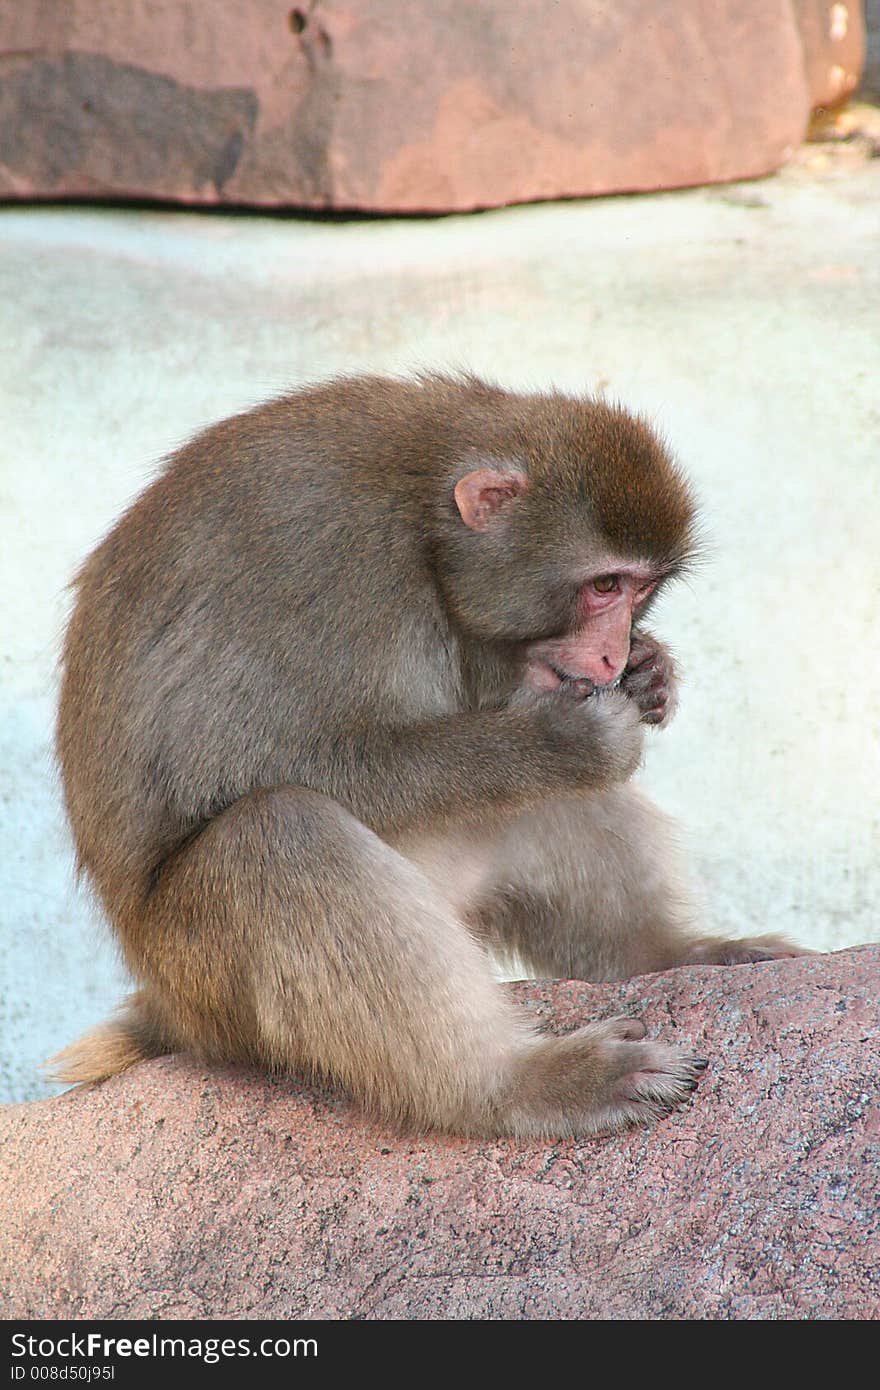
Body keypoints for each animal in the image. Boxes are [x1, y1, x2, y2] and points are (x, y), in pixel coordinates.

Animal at [51, 372, 800, 1139]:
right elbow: (258, 760)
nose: (612, 655)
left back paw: (670, 955)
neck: (426, 526)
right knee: (278, 831)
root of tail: (167, 1003)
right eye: (603, 586)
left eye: (640, 589)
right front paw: (563, 740)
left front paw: (652, 673)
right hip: (202, 979)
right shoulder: (337, 573)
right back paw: (518, 1085)